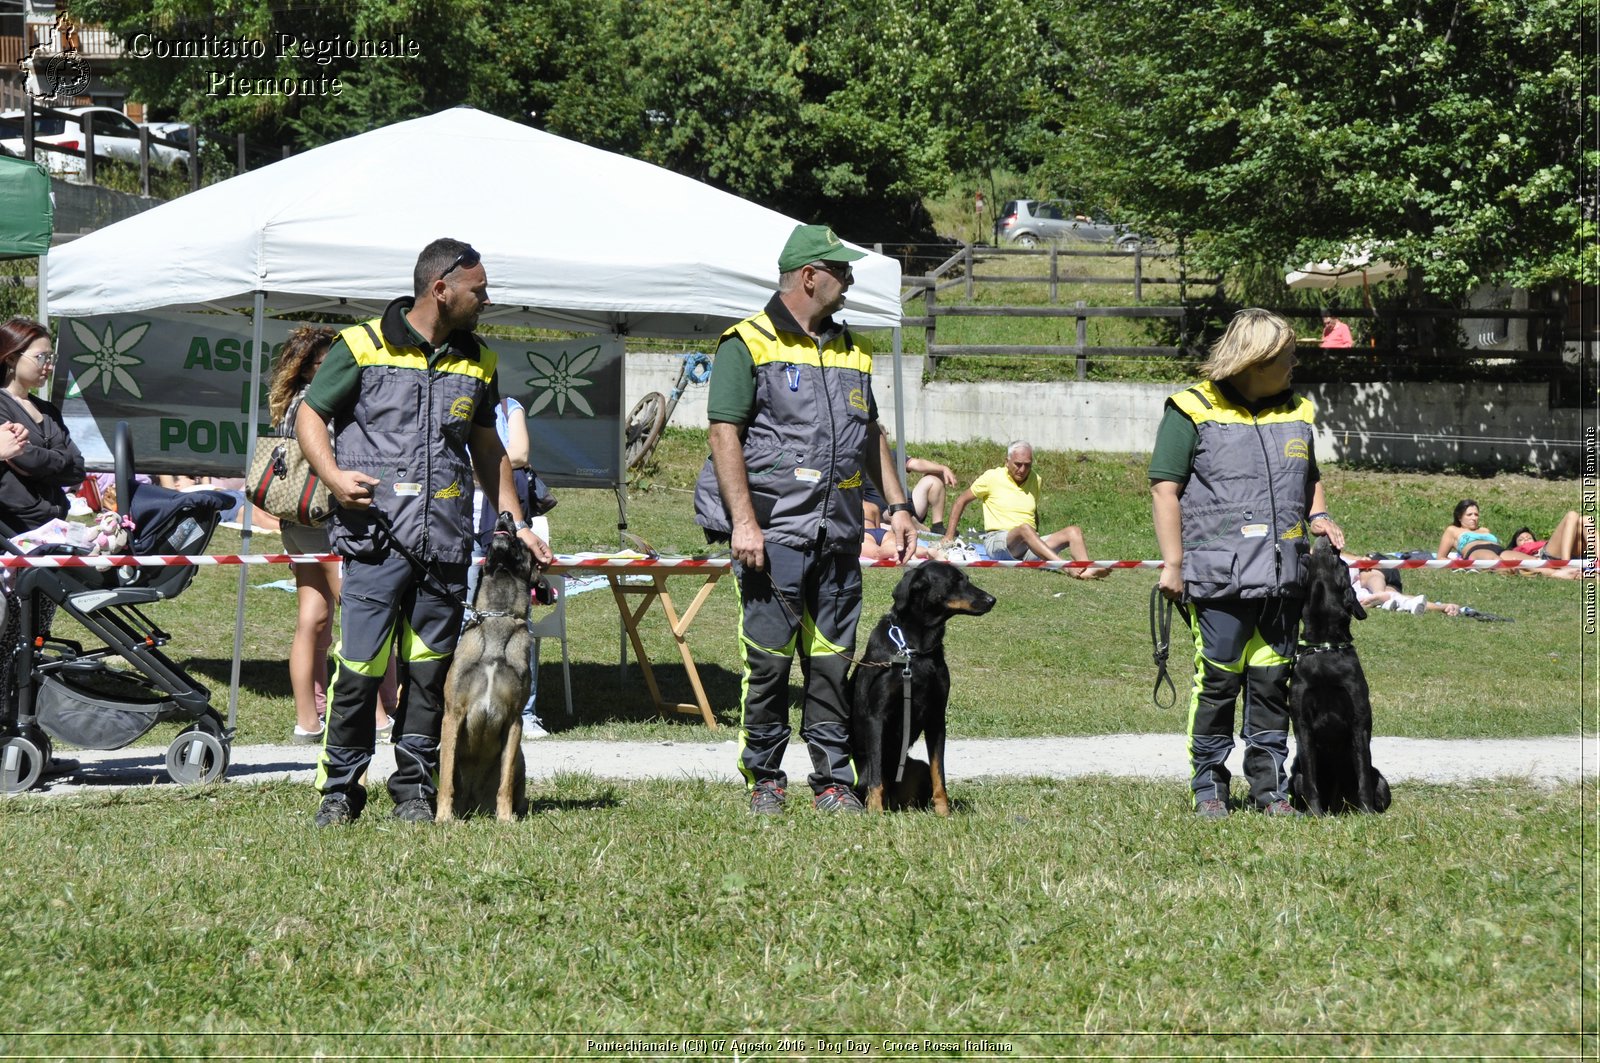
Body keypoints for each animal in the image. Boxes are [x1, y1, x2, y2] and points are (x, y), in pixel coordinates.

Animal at [438, 509, 537, 819]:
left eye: (524, 542)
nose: (506, 513)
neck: (498, 615)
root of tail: (473, 804)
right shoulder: (453, 714)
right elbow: (446, 778)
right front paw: (443, 817)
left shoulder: (515, 720)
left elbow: (504, 782)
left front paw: (505, 819)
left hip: (521, 758)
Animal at [844, 563, 992, 813]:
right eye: (955, 581)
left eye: (966, 578)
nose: (992, 599)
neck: (915, 650)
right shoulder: (877, 717)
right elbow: (876, 775)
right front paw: (875, 812)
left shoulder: (936, 717)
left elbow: (939, 774)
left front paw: (944, 813)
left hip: (915, 768)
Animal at [1286, 541, 1388, 813]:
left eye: (1341, 563)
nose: (1333, 545)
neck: (1325, 645)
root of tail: (1338, 806)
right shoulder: (1302, 725)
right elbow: (1311, 780)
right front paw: (1315, 814)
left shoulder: (1359, 722)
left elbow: (1362, 776)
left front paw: (1367, 812)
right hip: (1294, 778)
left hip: (1381, 781)